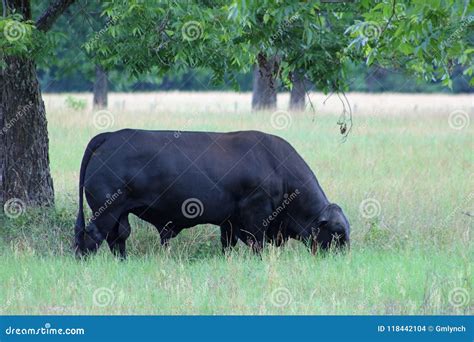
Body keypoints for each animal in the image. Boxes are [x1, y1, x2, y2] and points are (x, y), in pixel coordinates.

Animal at [74, 130, 348, 258]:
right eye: (337, 234)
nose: (342, 258)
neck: (277, 166)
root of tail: (110, 136)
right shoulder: (256, 216)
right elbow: (257, 244)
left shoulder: (229, 222)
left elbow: (227, 245)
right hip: (107, 210)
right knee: (92, 236)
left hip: (120, 214)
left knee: (118, 238)